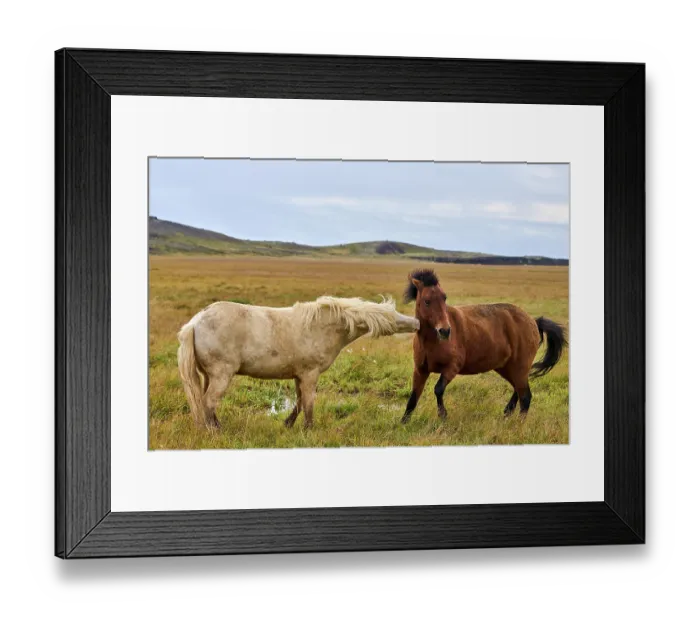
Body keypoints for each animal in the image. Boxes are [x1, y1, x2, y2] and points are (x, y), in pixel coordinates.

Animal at [177, 295, 420, 430]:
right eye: (392, 315)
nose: (417, 322)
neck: (321, 327)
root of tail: (195, 322)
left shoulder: (299, 375)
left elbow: (300, 402)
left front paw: (288, 424)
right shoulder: (310, 374)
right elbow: (309, 403)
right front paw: (308, 429)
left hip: (208, 376)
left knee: (205, 402)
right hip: (221, 375)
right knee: (209, 401)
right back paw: (215, 431)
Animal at [400, 268, 567, 423]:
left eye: (444, 298)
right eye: (427, 301)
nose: (445, 331)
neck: (431, 342)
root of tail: (533, 321)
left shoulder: (452, 367)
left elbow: (438, 389)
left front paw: (443, 416)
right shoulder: (420, 370)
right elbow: (413, 397)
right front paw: (403, 422)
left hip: (519, 367)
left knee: (525, 396)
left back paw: (518, 424)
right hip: (508, 368)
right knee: (519, 391)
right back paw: (507, 414)